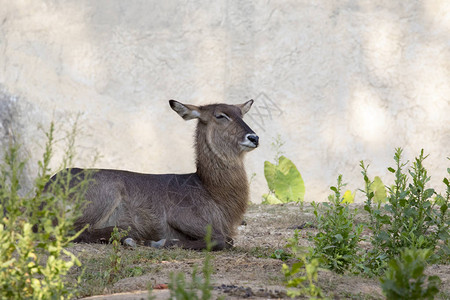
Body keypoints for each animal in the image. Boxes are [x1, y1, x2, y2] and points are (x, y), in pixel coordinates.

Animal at [47, 99, 258, 250]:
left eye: (241, 113)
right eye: (221, 115)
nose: (254, 137)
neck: (212, 192)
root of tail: (50, 184)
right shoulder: (181, 216)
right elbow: (222, 240)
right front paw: (159, 242)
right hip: (105, 195)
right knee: (68, 232)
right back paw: (128, 237)